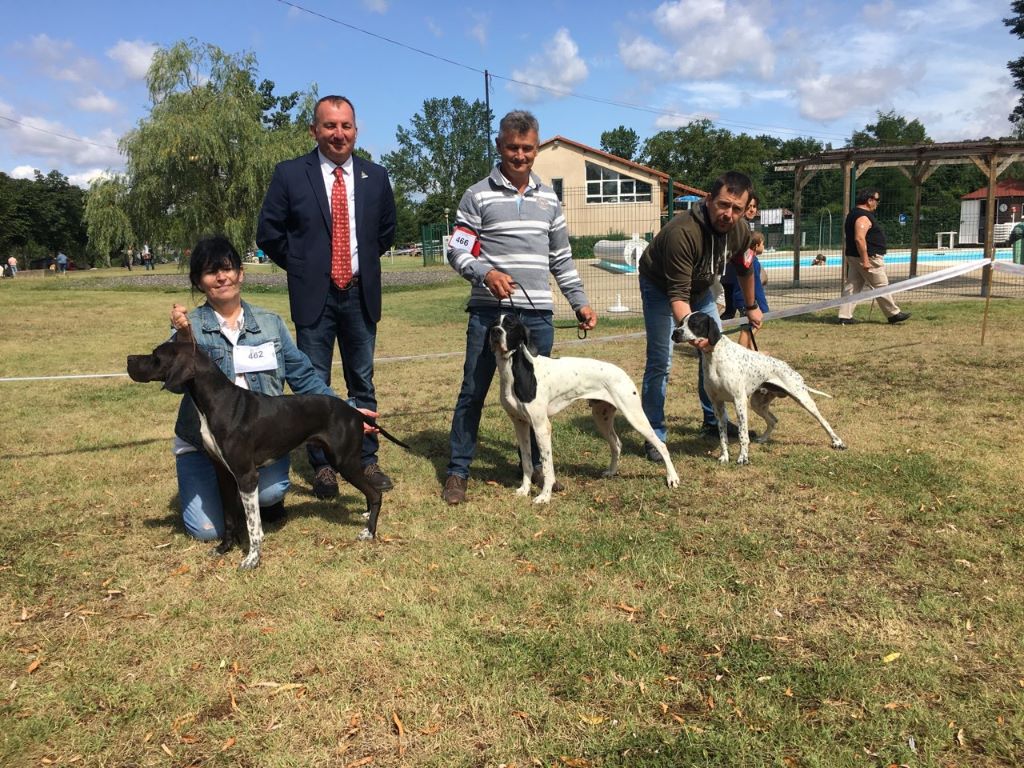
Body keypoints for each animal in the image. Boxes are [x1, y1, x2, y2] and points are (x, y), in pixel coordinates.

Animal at [129, 325, 411, 573]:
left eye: (155, 355)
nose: (129, 359)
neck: (218, 402)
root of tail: (354, 412)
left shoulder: (246, 476)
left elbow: (253, 526)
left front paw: (251, 559)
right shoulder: (224, 474)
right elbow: (229, 518)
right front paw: (224, 548)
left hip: (344, 461)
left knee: (375, 493)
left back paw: (369, 532)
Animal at [487, 313, 679, 505]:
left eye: (510, 325)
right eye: (494, 323)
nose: (496, 332)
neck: (516, 371)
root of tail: (622, 373)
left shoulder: (541, 427)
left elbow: (548, 467)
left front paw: (545, 496)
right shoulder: (520, 425)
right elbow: (527, 462)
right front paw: (524, 490)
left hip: (634, 416)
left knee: (661, 445)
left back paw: (672, 478)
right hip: (601, 417)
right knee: (617, 444)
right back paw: (612, 471)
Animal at [671, 311, 847, 466]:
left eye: (694, 323)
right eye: (680, 323)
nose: (675, 332)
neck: (714, 356)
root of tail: (790, 369)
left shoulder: (739, 401)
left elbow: (743, 435)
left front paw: (743, 458)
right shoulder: (717, 404)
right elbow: (722, 436)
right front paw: (724, 457)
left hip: (802, 399)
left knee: (823, 421)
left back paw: (837, 442)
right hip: (757, 404)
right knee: (774, 420)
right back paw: (763, 439)